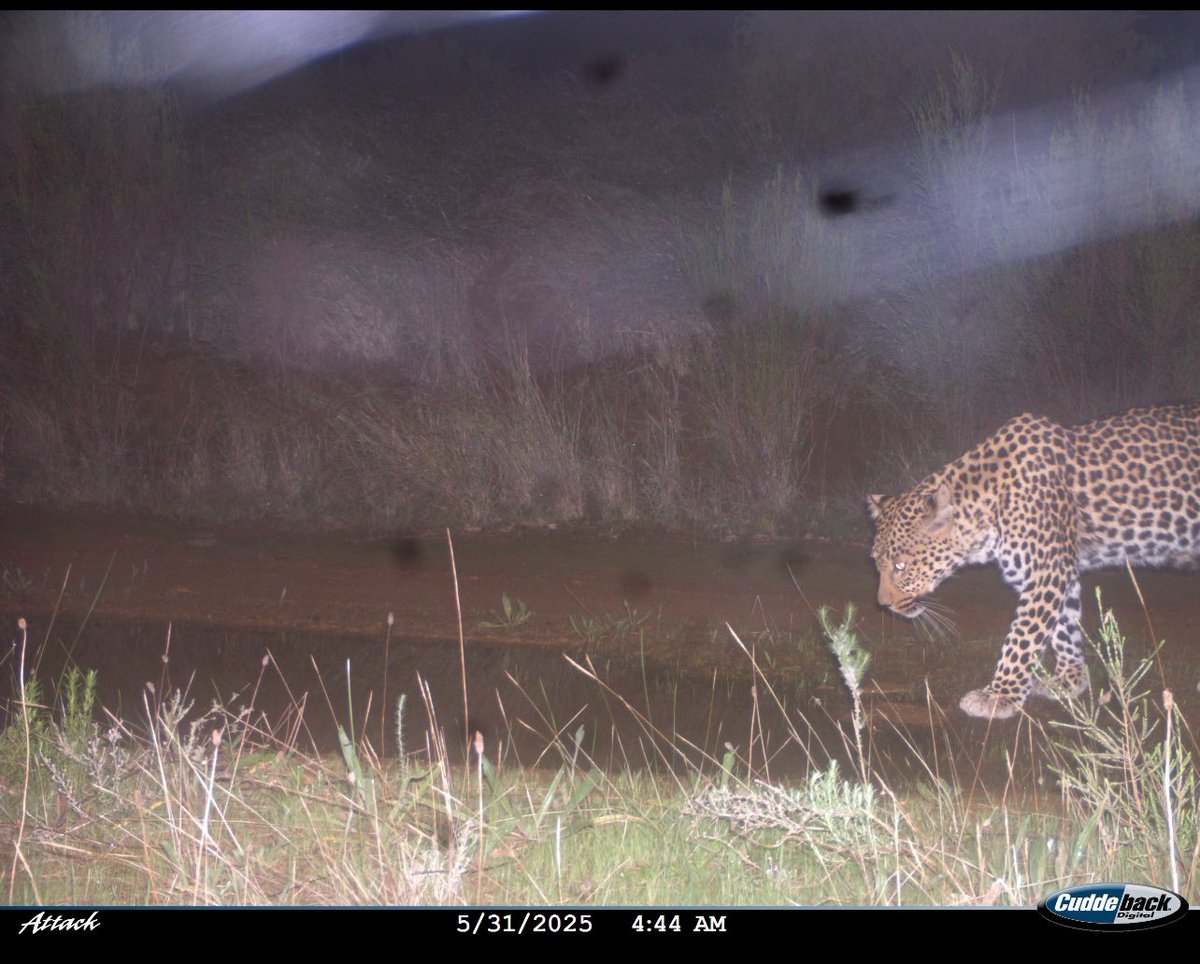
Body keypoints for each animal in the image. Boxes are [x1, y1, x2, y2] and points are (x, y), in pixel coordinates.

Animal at [867, 402, 1200, 720]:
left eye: (901, 566)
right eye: (877, 564)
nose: (883, 604)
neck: (988, 509)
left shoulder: (1047, 571)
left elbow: (1022, 636)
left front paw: (998, 695)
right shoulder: (1058, 571)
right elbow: (1065, 627)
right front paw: (1069, 680)